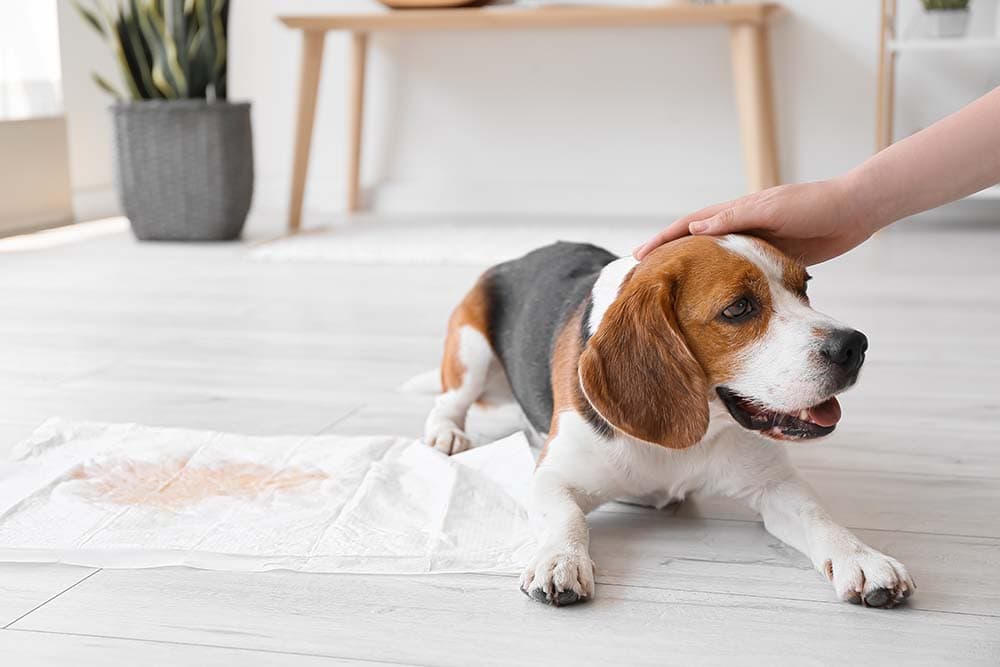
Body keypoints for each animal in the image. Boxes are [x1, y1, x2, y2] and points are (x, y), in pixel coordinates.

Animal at [424, 236, 916, 612]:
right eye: (738, 308)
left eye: (804, 287)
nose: (854, 345)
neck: (699, 428)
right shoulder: (551, 478)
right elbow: (568, 517)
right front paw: (560, 561)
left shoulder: (775, 486)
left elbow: (818, 517)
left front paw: (862, 559)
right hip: (470, 350)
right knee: (449, 400)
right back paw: (446, 433)